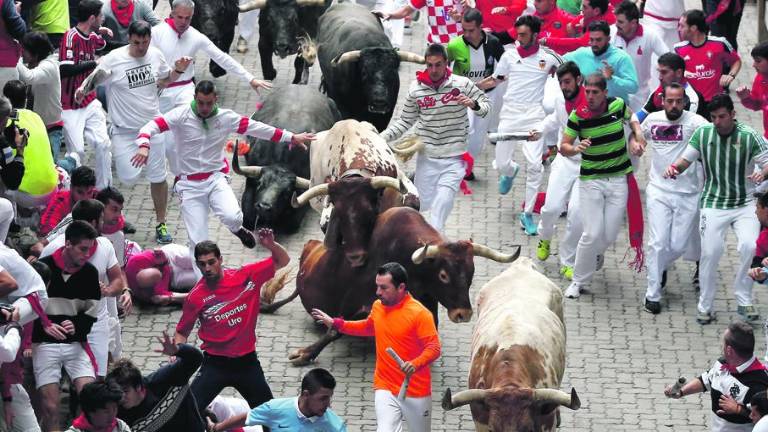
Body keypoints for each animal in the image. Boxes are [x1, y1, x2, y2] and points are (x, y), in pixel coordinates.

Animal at [260, 207, 520, 364]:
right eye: (444, 275)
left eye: (471, 273)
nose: (463, 314)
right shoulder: (355, 299)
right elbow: (335, 329)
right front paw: (305, 353)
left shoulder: (428, 300)